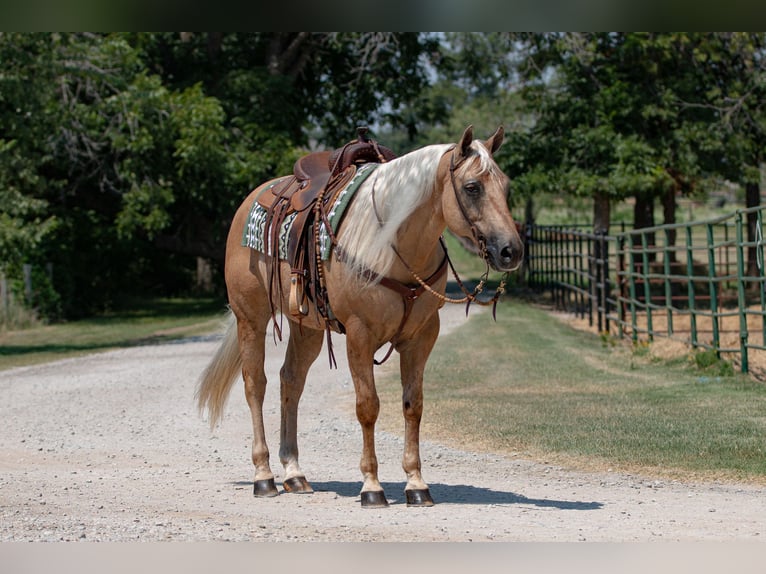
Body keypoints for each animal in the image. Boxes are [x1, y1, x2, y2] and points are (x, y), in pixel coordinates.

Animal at [195, 126, 524, 508]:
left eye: (505, 186)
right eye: (472, 187)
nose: (511, 251)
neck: (392, 241)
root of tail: (251, 200)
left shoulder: (422, 337)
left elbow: (413, 405)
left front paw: (416, 483)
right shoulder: (359, 334)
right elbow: (368, 406)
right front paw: (371, 486)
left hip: (305, 328)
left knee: (290, 381)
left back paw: (294, 474)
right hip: (251, 317)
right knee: (255, 385)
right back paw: (263, 476)